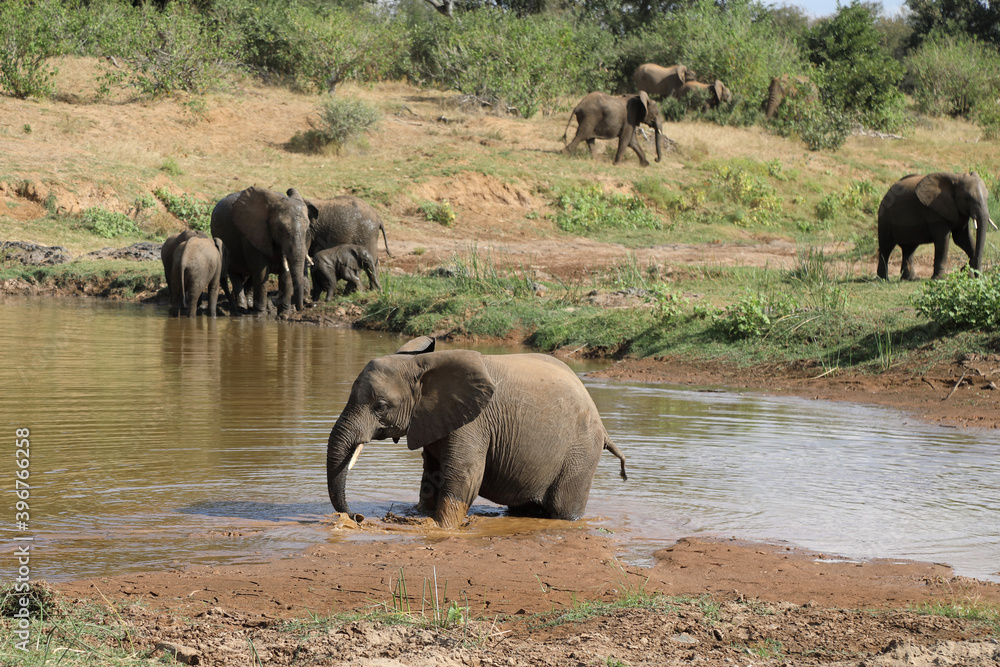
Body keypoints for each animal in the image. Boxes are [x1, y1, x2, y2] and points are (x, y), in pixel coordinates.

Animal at [210, 187, 316, 315]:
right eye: (280, 229)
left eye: (307, 230)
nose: (301, 307)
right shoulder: (253, 234)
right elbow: (261, 271)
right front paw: (260, 315)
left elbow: (286, 274)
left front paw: (283, 315)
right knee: (235, 275)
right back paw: (242, 308)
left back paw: (249, 305)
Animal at [326, 336, 628, 528]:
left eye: (380, 406)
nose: (358, 517)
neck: (422, 364)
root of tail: (602, 426)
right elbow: (431, 475)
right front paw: (422, 516)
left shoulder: (475, 422)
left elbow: (463, 474)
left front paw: (437, 527)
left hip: (580, 454)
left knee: (564, 509)